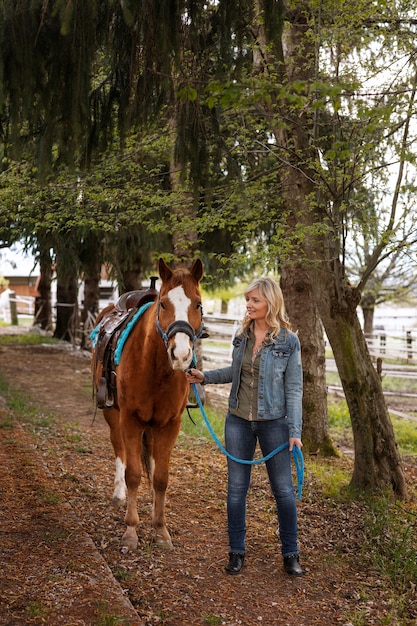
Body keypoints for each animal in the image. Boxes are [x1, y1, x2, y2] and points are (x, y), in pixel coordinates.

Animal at [93, 256, 206, 548]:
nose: (181, 354)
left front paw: (160, 528)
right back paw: (119, 495)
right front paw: (131, 530)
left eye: (198, 304)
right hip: (113, 414)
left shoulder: (170, 424)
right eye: (163, 304)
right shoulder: (130, 420)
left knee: (153, 466)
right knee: (120, 450)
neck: (156, 368)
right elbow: (133, 474)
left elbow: (161, 478)